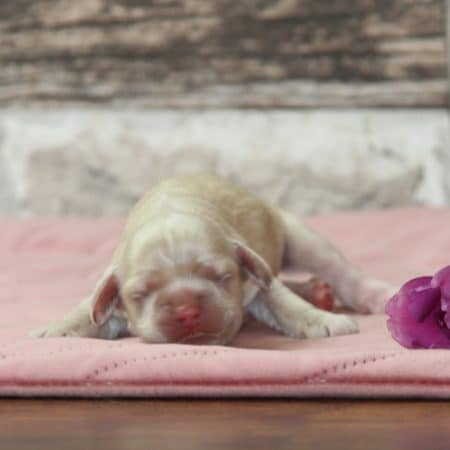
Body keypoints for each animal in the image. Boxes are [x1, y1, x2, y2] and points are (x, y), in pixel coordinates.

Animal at [31, 173, 394, 344]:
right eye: (140, 294)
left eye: (221, 277)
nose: (187, 310)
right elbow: (86, 311)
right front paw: (57, 330)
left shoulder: (255, 275)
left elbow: (283, 302)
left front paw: (322, 320)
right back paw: (317, 291)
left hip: (299, 235)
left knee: (339, 271)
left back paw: (366, 295)